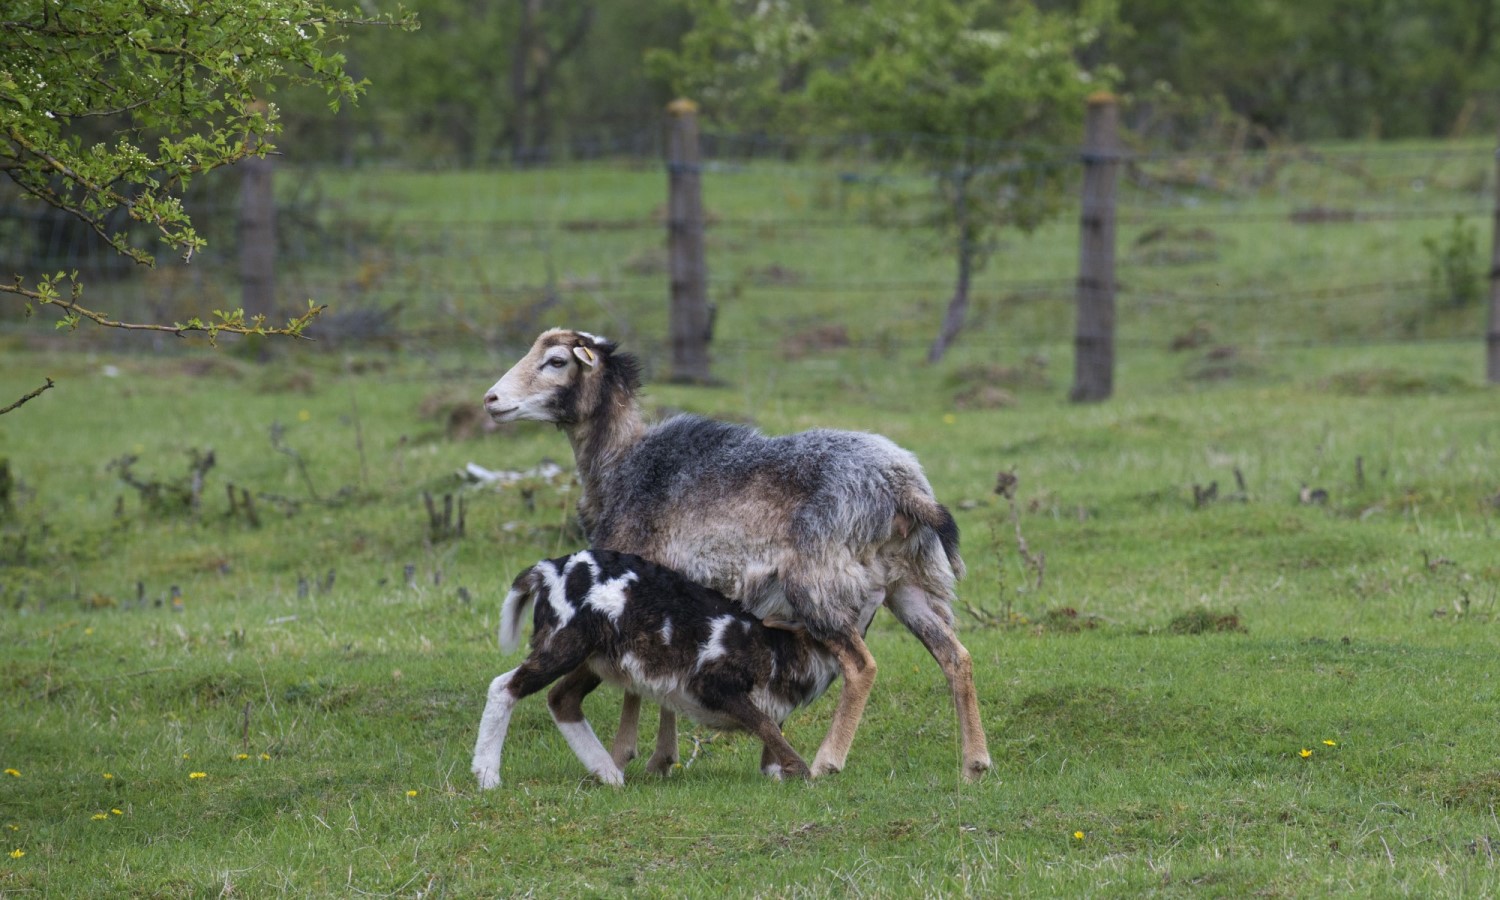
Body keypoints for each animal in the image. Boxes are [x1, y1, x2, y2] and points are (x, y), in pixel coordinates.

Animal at [471, 549, 846, 786]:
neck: (778, 649)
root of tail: (547, 571)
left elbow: (771, 730)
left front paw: (779, 773)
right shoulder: (712, 684)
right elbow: (765, 723)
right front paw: (802, 771)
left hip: (595, 656)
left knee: (561, 699)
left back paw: (608, 775)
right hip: (564, 643)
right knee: (504, 687)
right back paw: (487, 775)